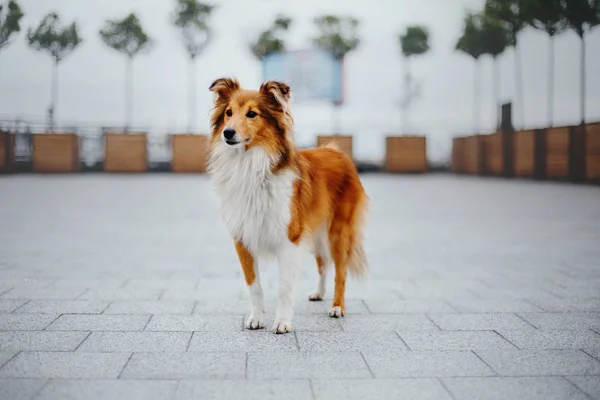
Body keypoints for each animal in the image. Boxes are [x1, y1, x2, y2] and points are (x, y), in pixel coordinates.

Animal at [205, 76, 366, 332]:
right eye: (228, 112)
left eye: (252, 114)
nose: (227, 133)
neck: (252, 165)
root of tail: (336, 151)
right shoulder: (242, 238)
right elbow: (253, 285)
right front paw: (256, 319)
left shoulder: (289, 239)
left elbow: (284, 287)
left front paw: (282, 323)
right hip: (315, 231)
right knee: (323, 263)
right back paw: (318, 293)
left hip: (338, 231)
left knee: (340, 271)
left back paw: (337, 307)